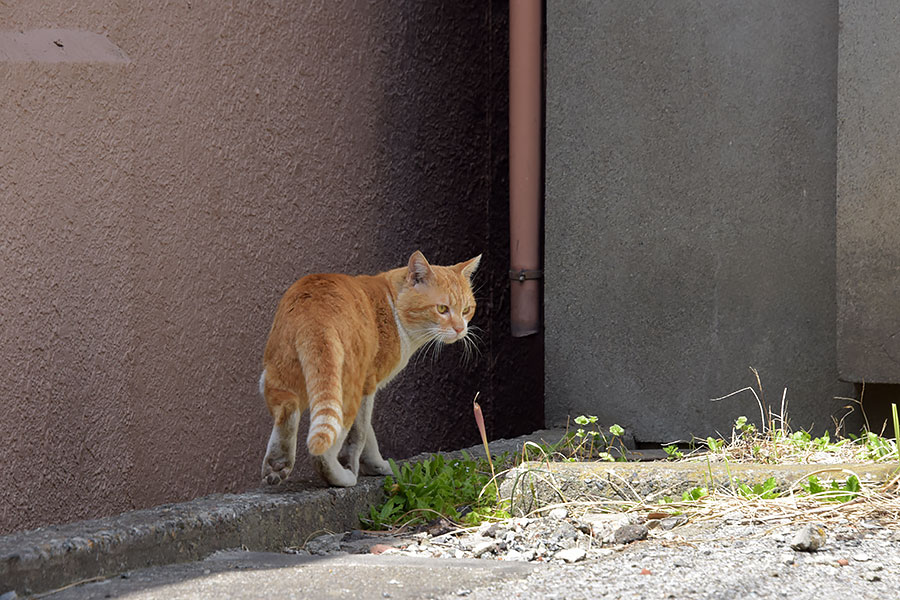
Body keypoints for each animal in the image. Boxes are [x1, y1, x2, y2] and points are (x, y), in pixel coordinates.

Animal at [260, 251, 482, 486]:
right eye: (442, 309)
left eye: (466, 310)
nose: (460, 329)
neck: (394, 305)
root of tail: (314, 315)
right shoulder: (368, 385)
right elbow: (362, 433)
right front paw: (364, 464)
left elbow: (368, 433)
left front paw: (374, 465)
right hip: (346, 389)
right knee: (323, 448)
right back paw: (342, 477)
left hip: (278, 377)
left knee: (287, 411)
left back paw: (277, 465)